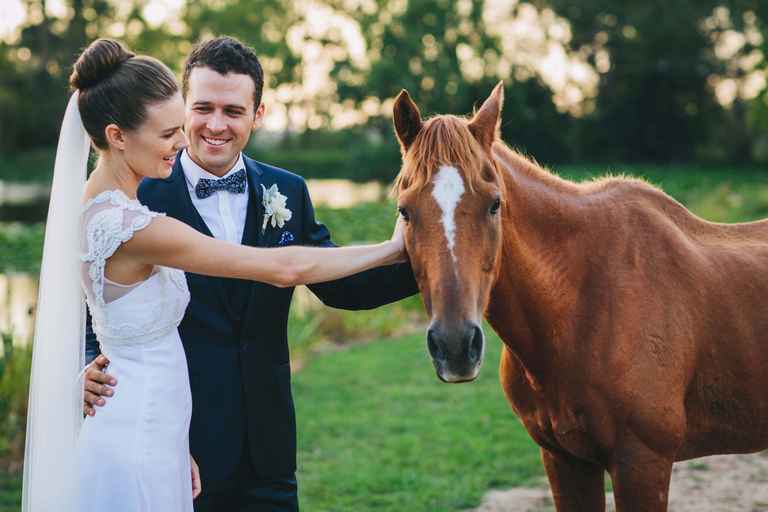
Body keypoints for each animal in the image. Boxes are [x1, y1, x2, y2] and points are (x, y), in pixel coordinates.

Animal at [392, 82, 768, 510]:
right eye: (404, 211)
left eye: (494, 203)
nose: (455, 346)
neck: (582, 304)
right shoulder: (565, 460)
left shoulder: (643, 463)